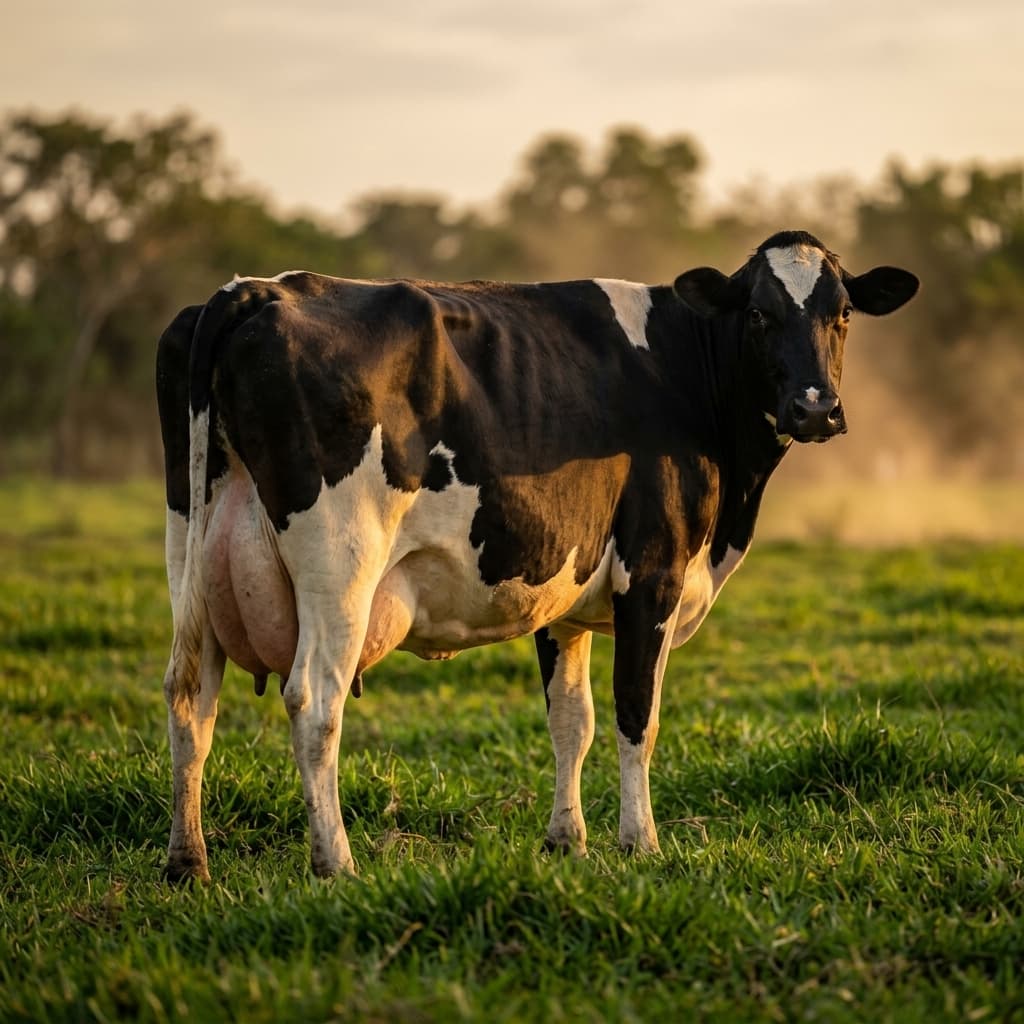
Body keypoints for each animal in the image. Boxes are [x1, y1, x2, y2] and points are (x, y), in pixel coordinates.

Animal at [156, 230, 918, 881]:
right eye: (759, 313)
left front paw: (565, 841)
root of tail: (253, 291)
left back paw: (188, 863)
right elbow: (636, 712)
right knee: (315, 700)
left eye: (843, 313)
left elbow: (570, 720)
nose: (815, 408)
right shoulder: (653, 574)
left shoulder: (566, 598)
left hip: (191, 556)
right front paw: (640, 843)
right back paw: (335, 862)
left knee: (191, 695)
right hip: (340, 562)